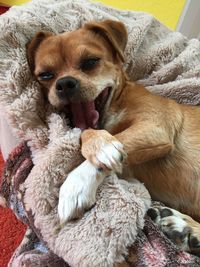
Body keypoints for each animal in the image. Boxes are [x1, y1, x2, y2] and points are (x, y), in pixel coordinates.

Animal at [27, 19, 200, 255]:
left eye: (90, 62)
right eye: (45, 75)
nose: (64, 84)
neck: (117, 102)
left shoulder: (155, 127)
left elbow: (106, 144)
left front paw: (76, 184)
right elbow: (88, 132)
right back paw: (182, 228)